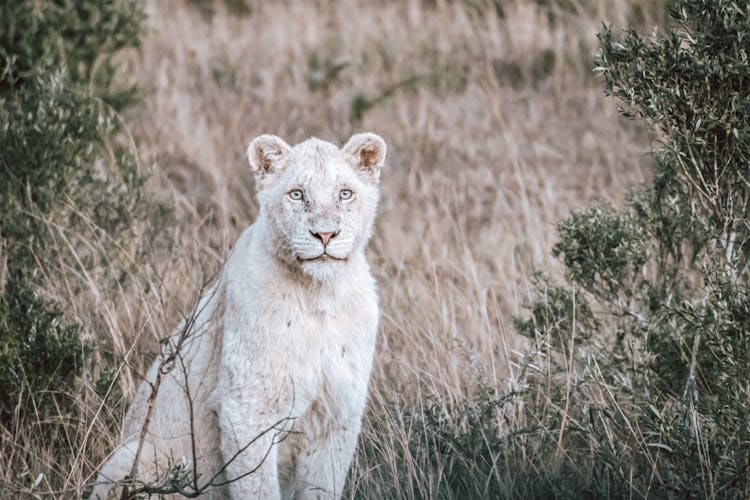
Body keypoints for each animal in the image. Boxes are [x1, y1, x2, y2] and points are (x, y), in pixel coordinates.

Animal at [89, 131, 388, 498]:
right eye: (297, 194)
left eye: (345, 193)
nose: (325, 234)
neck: (319, 296)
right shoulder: (245, 412)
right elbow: (259, 489)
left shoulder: (338, 416)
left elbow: (323, 487)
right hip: (134, 458)